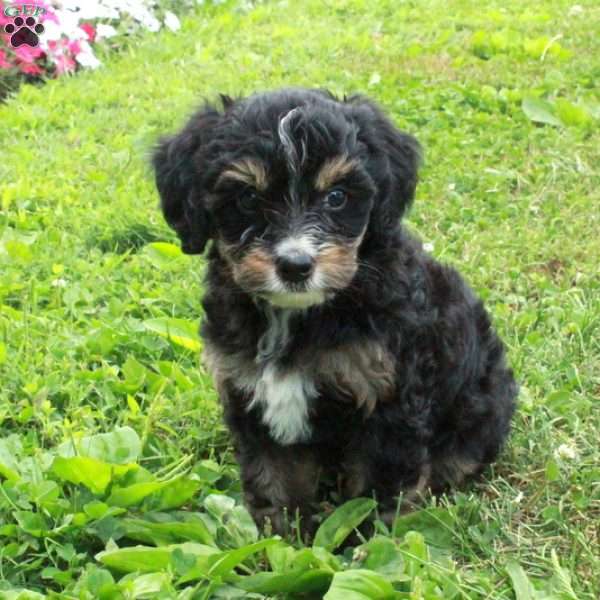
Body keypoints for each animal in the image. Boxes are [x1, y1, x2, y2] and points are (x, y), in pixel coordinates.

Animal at [152, 86, 516, 532]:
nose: (295, 265)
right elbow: (273, 477)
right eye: (248, 198)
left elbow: (376, 491)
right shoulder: (249, 393)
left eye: (337, 197)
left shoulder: (387, 403)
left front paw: (363, 542)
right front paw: (279, 538)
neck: (299, 314)